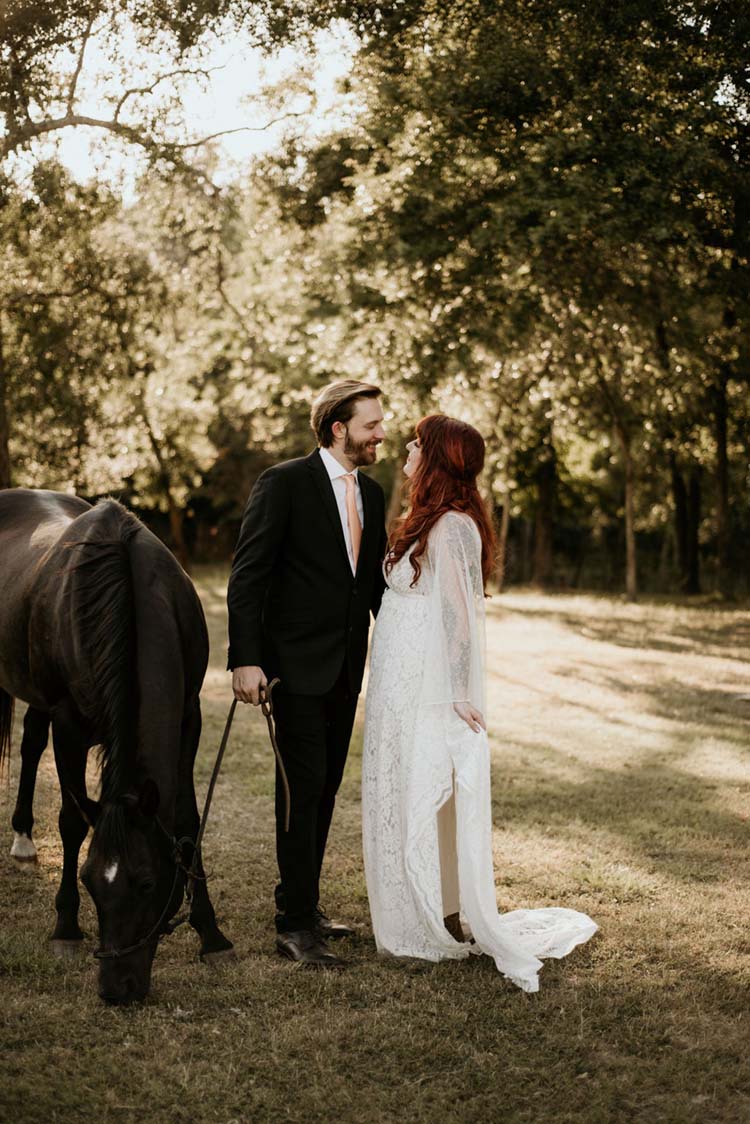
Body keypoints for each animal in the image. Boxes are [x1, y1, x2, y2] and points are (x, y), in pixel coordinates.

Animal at [0, 490, 232, 1002]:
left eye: (146, 884)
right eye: (89, 882)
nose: (116, 989)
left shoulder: (189, 716)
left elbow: (188, 821)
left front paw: (211, 934)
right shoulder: (68, 723)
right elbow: (71, 822)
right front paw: (65, 928)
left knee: (29, 743)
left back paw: (23, 838)